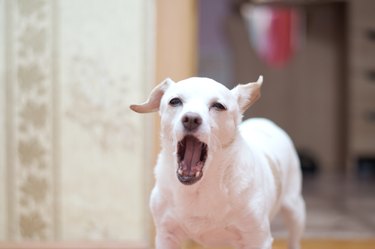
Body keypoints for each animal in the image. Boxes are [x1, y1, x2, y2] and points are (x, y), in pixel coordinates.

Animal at [131, 76, 306, 249]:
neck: (200, 189)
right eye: (175, 101)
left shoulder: (258, 239)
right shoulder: (167, 236)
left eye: (218, 106)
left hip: (295, 210)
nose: (191, 119)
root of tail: (265, 122)